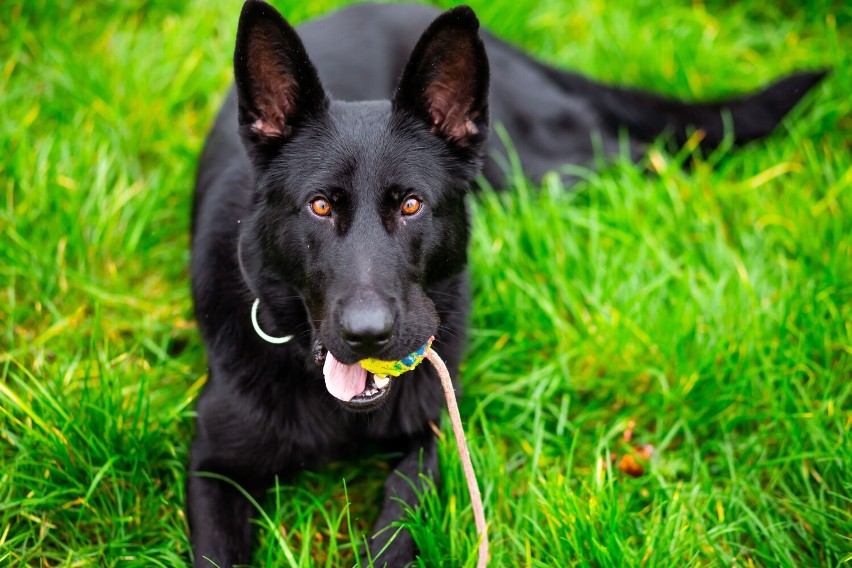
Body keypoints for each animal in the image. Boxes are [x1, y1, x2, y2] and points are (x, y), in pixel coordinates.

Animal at [191, 1, 824, 564]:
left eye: (413, 205)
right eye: (319, 207)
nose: (369, 336)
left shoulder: (430, 437)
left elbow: (397, 525)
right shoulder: (210, 464)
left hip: (546, 168)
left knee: (646, 151)